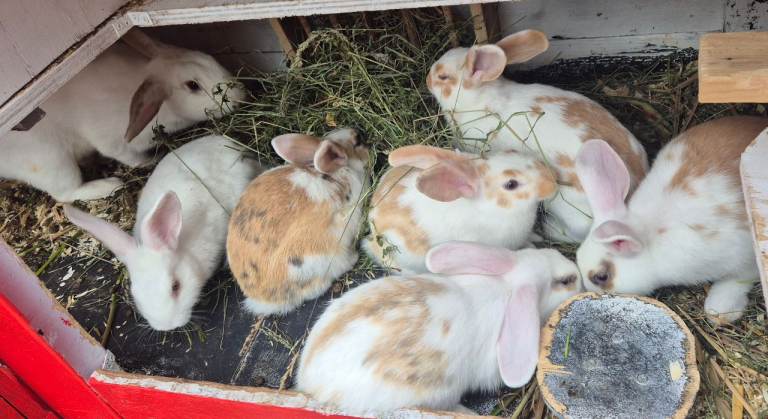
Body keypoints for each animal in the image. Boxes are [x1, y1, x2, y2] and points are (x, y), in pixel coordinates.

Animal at [0, 29, 245, 203]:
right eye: (193, 85)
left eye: (209, 58)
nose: (241, 96)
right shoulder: (114, 143)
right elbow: (130, 158)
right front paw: (151, 160)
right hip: (52, 162)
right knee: (65, 194)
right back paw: (110, 185)